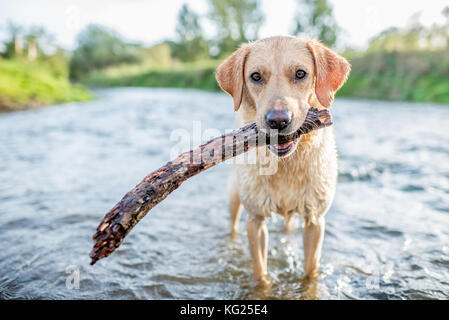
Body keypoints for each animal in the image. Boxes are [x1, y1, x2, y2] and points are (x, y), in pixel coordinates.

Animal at [214, 36, 350, 284]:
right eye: (256, 76)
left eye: (300, 73)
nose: (278, 121)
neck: (287, 164)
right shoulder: (255, 219)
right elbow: (260, 272)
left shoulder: (315, 220)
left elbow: (310, 271)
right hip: (234, 198)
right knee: (233, 225)